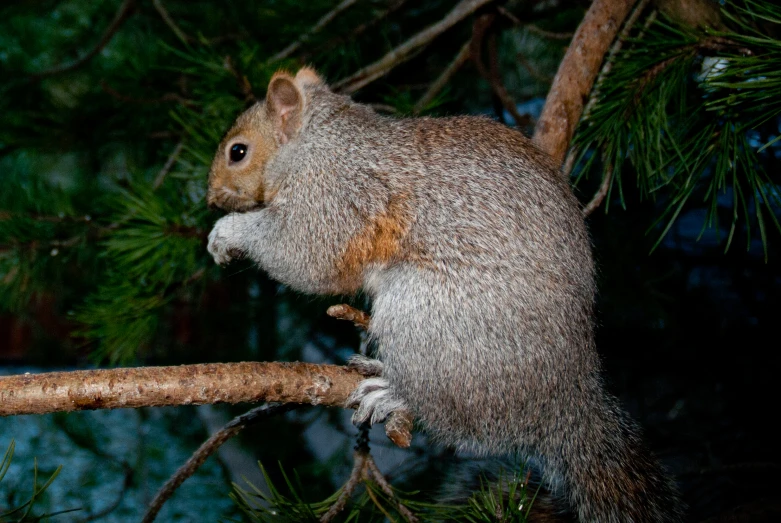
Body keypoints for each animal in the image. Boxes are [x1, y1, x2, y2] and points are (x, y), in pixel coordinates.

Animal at [206, 67, 684, 520]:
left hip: (428, 319)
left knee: (456, 419)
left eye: (238, 151)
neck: (317, 141)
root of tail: (561, 400)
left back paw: (394, 393)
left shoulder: (336, 196)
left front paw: (229, 232)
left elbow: (306, 254)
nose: (211, 198)